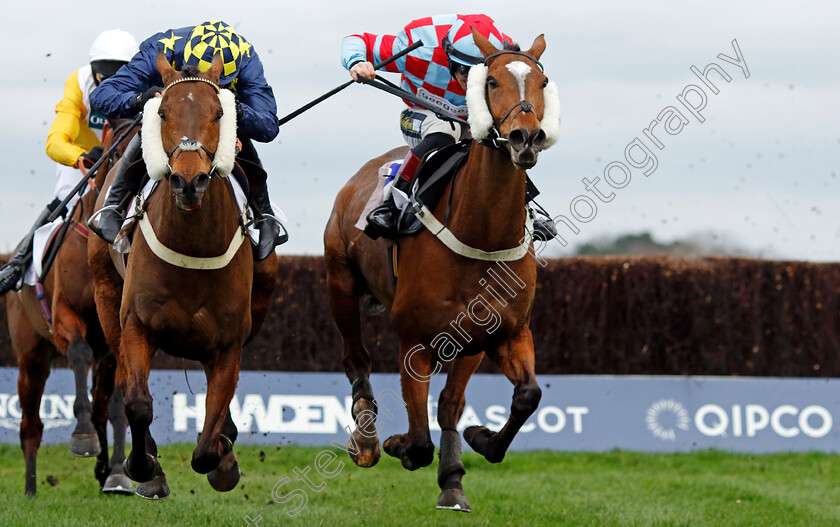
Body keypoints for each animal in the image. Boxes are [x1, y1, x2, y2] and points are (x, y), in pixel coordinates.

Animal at [5, 121, 136, 498]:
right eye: (117, 155)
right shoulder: (65, 316)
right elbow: (78, 352)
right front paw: (82, 437)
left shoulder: (115, 339)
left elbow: (117, 406)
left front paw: (116, 473)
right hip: (31, 359)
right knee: (30, 425)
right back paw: (31, 489)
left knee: (102, 405)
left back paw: (105, 468)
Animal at [89, 51, 278, 498]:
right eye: (162, 111)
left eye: (218, 113)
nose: (189, 181)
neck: (193, 247)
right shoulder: (137, 323)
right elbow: (138, 403)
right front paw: (143, 467)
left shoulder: (229, 342)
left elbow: (209, 437)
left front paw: (223, 455)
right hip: (106, 297)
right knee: (123, 381)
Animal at [324, 28, 560, 512]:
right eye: (491, 81)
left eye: (543, 82)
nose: (525, 137)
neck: (481, 233)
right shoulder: (413, 339)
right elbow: (416, 441)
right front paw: (395, 444)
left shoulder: (506, 331)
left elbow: (527, 396)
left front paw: (481, 440)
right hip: (340, 281)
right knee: (356, 358)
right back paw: (367, 439)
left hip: (467, 343)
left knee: (451, 401)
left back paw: (452, 479)